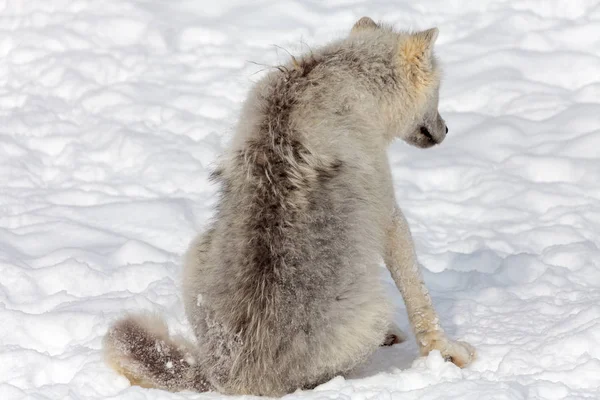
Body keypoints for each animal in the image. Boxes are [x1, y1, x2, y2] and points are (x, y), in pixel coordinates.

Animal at [105, 16, 476, 396]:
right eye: (439, 92)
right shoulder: (390, 214)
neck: (341, 72)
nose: (447, 129)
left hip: (195, 251)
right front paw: (445, 353)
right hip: (370, 314)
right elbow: (419, 296)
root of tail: (230, 374)